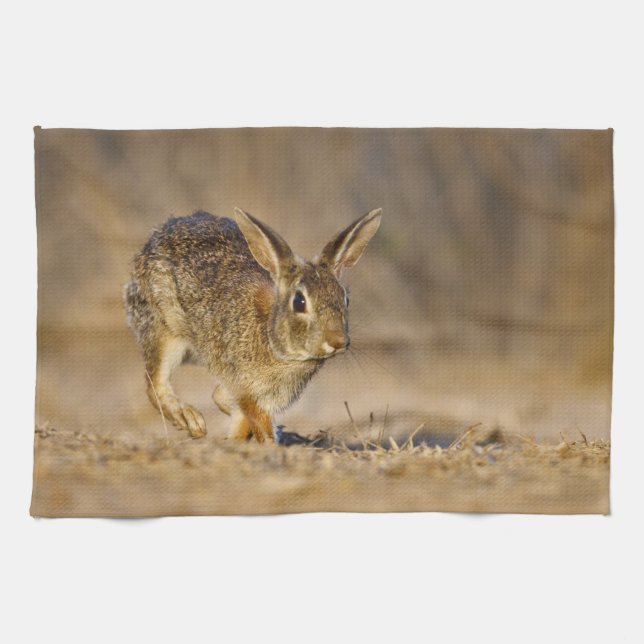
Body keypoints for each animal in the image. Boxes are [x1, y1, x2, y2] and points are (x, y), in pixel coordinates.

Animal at [124, 207, 382, 442]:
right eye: (299, 302)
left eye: (345, 299)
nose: (338, 341)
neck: (275, 342)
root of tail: (155, 238)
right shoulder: (247, 388)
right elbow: (256, 421)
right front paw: (267, 444)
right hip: (164, 330)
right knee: (155, 384)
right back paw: (191, 420)